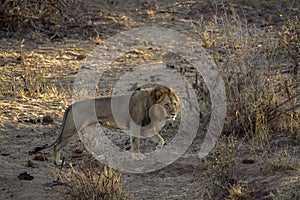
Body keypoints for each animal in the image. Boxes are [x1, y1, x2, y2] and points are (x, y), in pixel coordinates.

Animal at [29, 85, 180, 165]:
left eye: (174, 104)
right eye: (167, 104)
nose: (173, 114)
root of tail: (72, 105)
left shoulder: (146, 129)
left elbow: (160, 139)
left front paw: (158, 148)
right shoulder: (136, 127)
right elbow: (136, 143)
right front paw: (138, 156)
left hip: (88, 129)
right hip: (70, 130)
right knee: (57, 145)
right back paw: (58, 162)